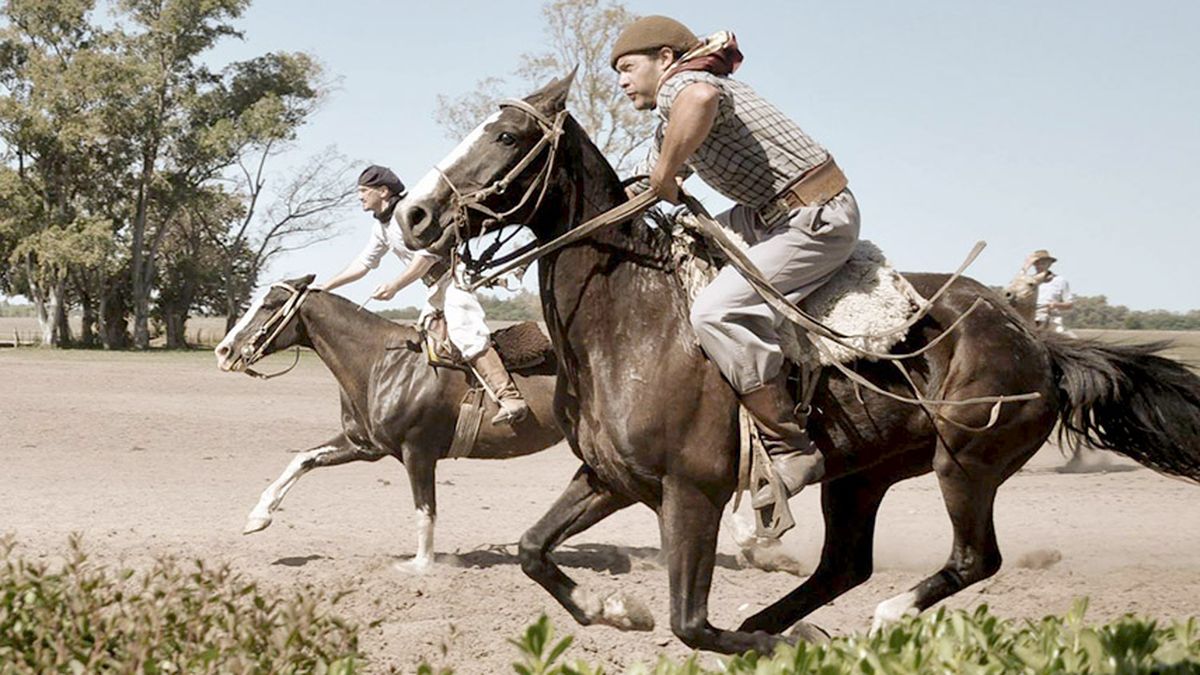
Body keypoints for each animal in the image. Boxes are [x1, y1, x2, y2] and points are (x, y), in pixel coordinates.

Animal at [214, 276, 561, 569]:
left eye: (269, 305)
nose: (224, 350)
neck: (381, 363)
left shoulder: (417, 450)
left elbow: (425, 509)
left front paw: (421, 564)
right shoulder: (364, 445)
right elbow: (303, 459)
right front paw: (257, 517)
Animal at [396, 74, 1200, 653]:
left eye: (505, 135)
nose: (414, 215)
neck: (630, 319)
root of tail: (1039, 343)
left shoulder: (692, 492)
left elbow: (692, 624)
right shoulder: (608, 476)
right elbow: (534, 549)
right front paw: (615, 607)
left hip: (965, 464)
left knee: (974, 560)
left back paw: (880, 618)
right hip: (863, 476)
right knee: (845, 563)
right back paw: (795, 620)